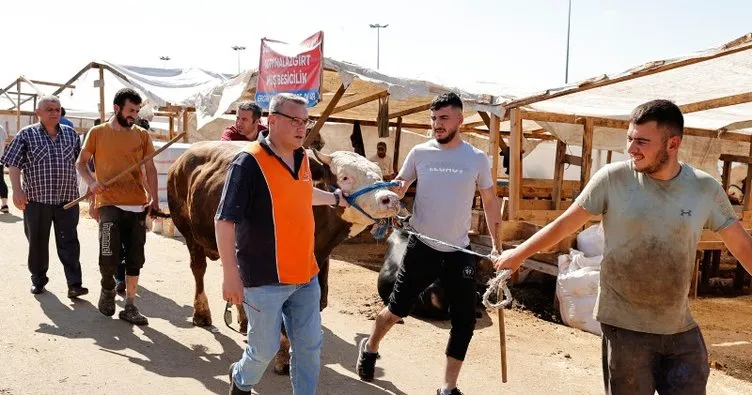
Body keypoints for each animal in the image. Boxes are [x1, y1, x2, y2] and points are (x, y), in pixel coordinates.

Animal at [164, 142, 400, 374]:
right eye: (344, 177)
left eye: (379, 174)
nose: (390, 199)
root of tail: (185, 156)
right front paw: (283, 358)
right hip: (188, 230)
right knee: (198, 269)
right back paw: (202, 313)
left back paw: (243, 320)